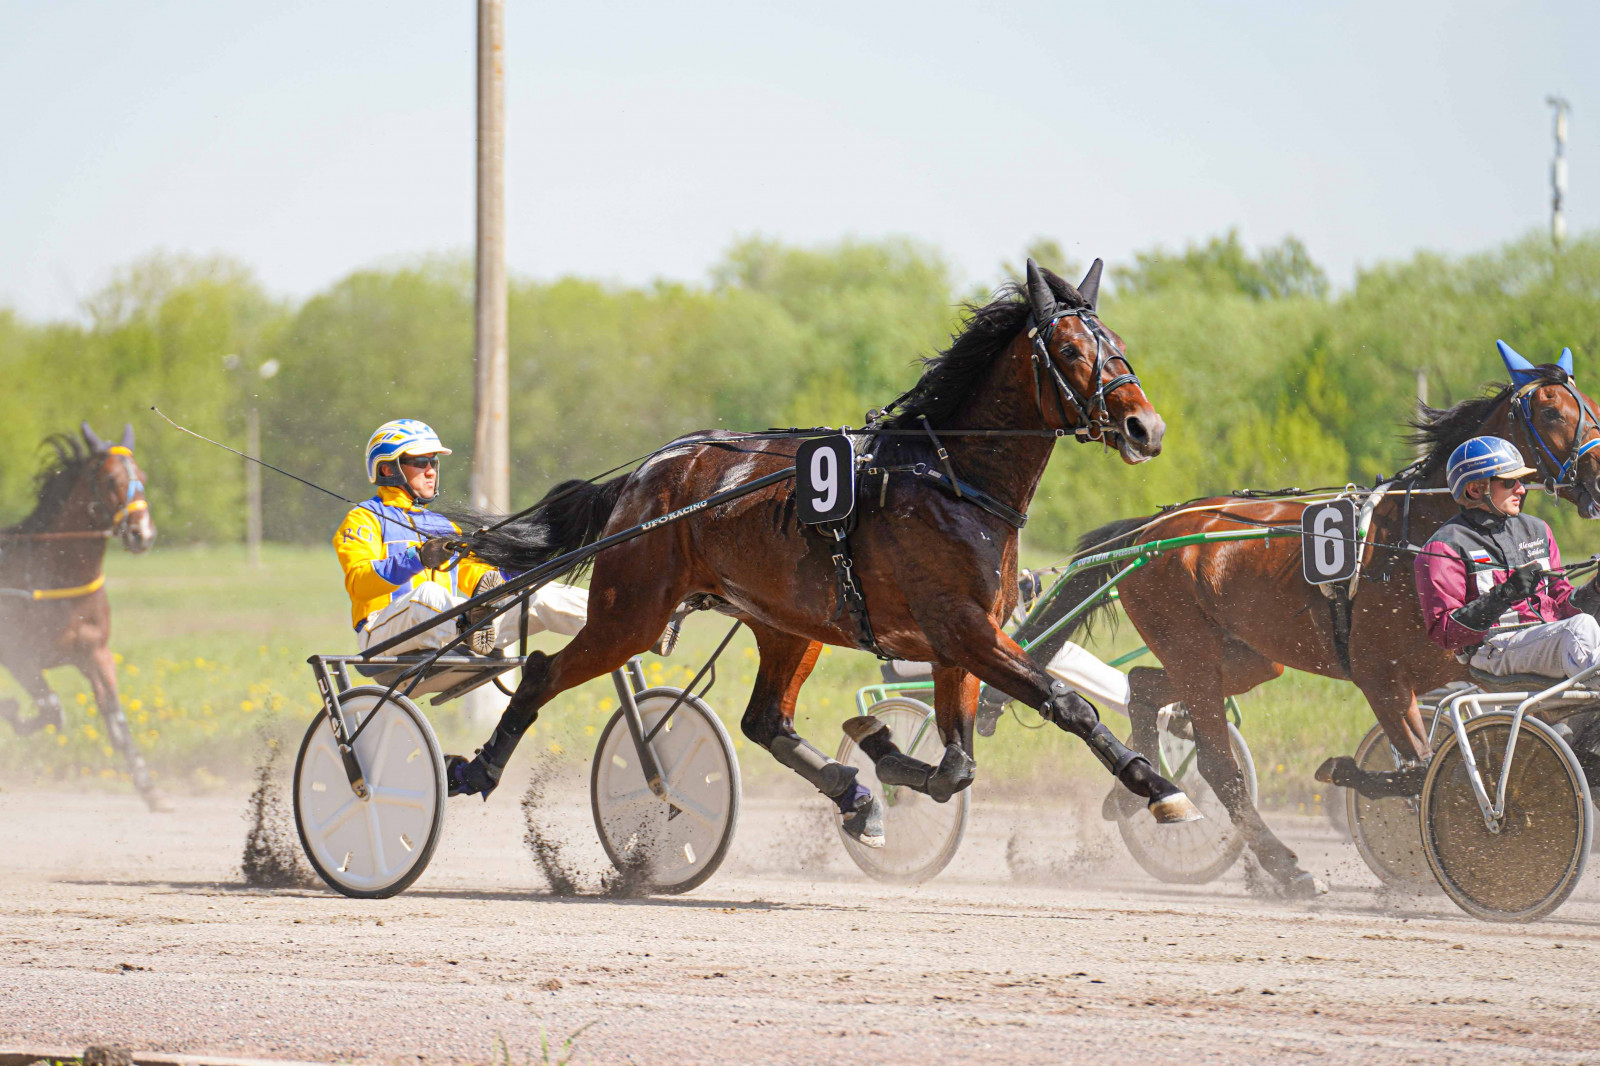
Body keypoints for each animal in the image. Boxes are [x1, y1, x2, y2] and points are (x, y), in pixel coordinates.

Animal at [0, 422, 162, 806]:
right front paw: (11, 709)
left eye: (142, 476)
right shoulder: (18, 655)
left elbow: (115, 719)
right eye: (110, 479)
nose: (143, 533)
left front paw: (148, 786)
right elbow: (52, 709)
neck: (54, 574)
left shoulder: (96, 653)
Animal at [444, 257, 1203, 838]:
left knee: (765, 722)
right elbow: (1066, 706)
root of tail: (647, 474)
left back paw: (853, 794)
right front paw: (1159, 787)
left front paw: (883, 752)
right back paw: (477, 767)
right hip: (630, 611)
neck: (951, 480)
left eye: (1118, 340)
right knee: (543, 671)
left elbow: (957, 765)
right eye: (1071, 351)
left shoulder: (961, 639)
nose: (1145, 427)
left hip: (785, 624)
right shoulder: (964, 629)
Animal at [1024, 344, 1600, 889]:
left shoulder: (1467, 669)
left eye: (1591, 404)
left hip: (1243, 657)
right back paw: (1284, 868)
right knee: (1217, 763)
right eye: (1552, 411)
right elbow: (1418, 770)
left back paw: (1133, 793)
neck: (1412, 533)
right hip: (1190, 648)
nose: (1598, 474)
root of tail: (1151, 529)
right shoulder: (1381, 677)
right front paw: (1352, 776)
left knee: (1143, 684)